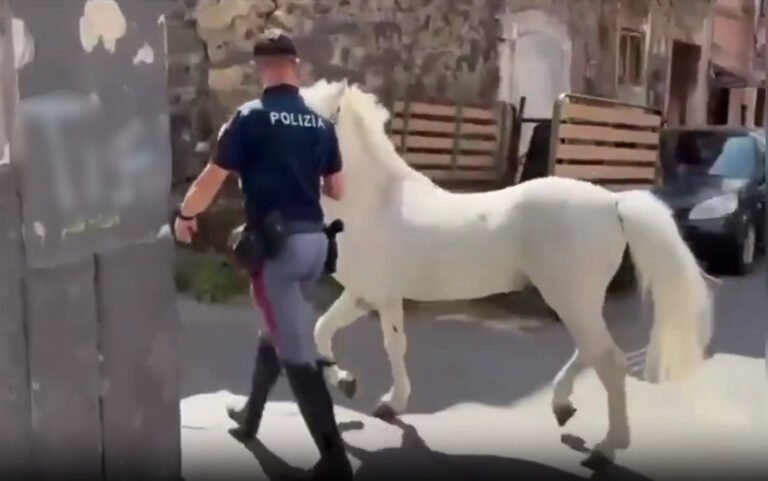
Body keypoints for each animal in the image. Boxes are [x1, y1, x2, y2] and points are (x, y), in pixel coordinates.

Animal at [299, 79, 714, 468]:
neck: (375, 204)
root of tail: (613, 202)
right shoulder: (366, 295)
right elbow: (329, 331)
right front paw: (359, 388)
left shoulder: (377, 296)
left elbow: (384, 344)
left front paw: (379, 397)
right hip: (576, 299)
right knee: (592, 350)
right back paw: (563, 407)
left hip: (570, 297)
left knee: (608, 359)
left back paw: (606, 448)